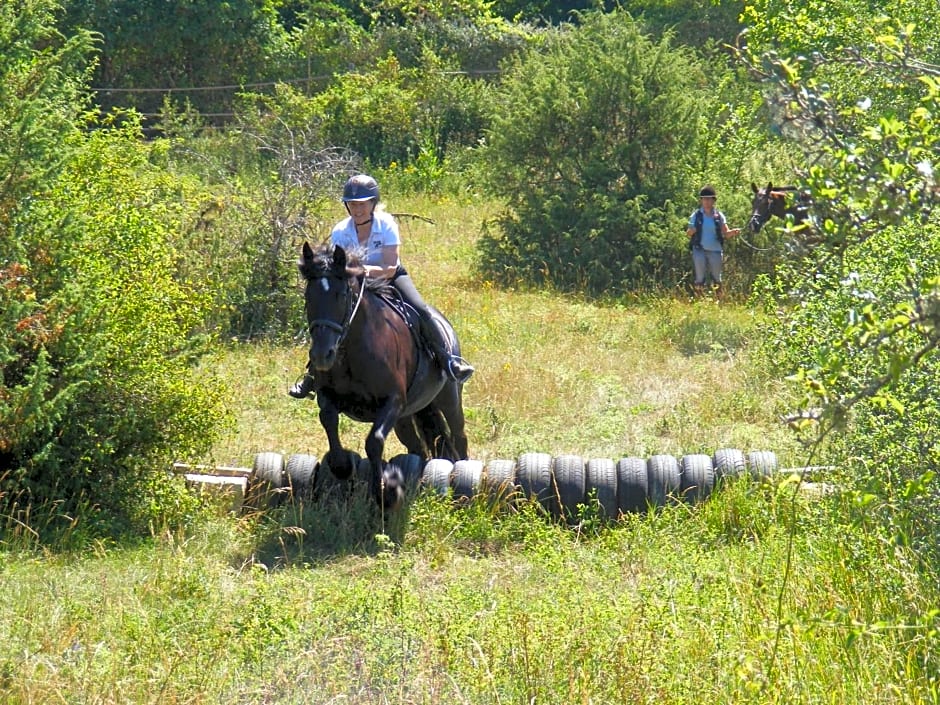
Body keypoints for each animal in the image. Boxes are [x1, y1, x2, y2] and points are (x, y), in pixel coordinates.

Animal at [298, 239, 466, 508]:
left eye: (341, 294)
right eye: (308, 296)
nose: (322, 355)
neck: (352, 350)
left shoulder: (393, 401)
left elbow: (374, 441)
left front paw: (385, 491)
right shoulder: (327, 394)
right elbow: (328, 418)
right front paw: (342, 466)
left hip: (449, 397)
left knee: (459, 434)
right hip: (405, 418)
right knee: (418, 448)